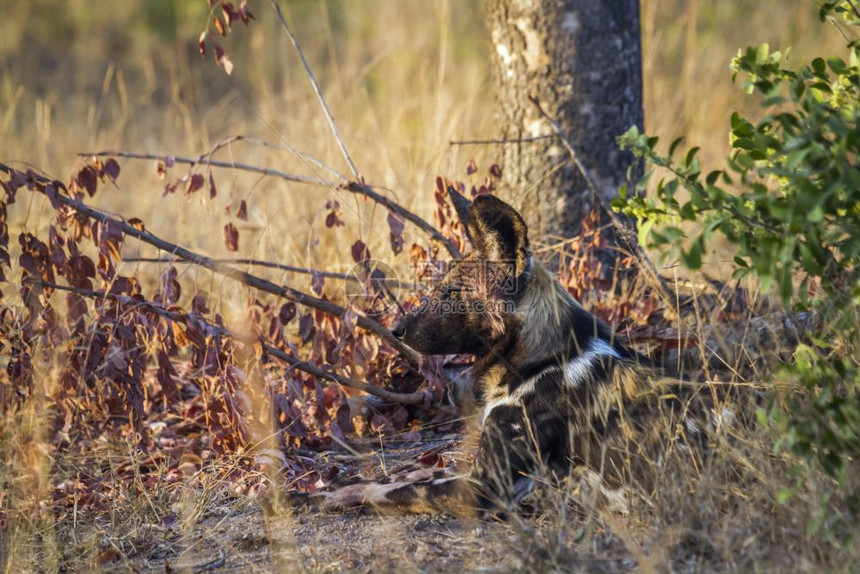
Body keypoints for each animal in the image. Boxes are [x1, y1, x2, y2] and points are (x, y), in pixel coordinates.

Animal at [296, 188, 712, 516]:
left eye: (452, 294)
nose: (395, 330)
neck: (542, 359)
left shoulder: (485, 486)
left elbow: (391, 488)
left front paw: (322, 496)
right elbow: (416, 474)